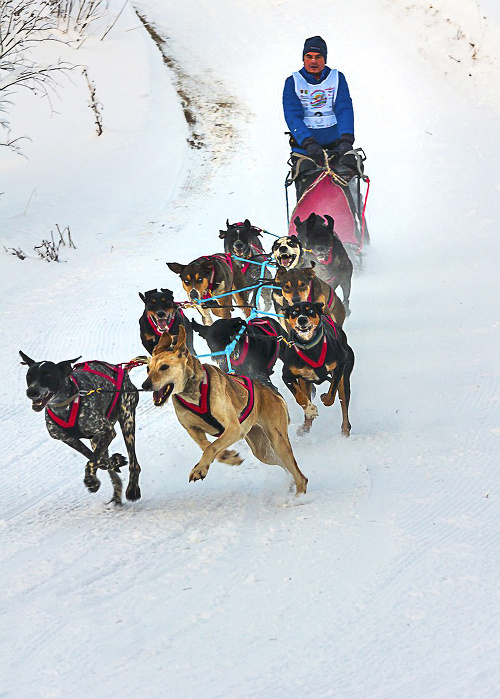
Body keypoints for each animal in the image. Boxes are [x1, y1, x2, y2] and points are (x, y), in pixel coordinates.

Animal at [141, 326, 308, 494]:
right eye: (148, 368)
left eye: (164, 367)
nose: (145, 385)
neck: (193, 391)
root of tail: (270, 392)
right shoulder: (192, 429)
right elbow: (206, 445)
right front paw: (228, 456)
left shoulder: (234, 428)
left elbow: (212, 447)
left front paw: (199, 469)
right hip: (263, 451)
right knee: (286, 468)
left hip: (278, 441)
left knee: (300, 476)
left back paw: (299, 495)